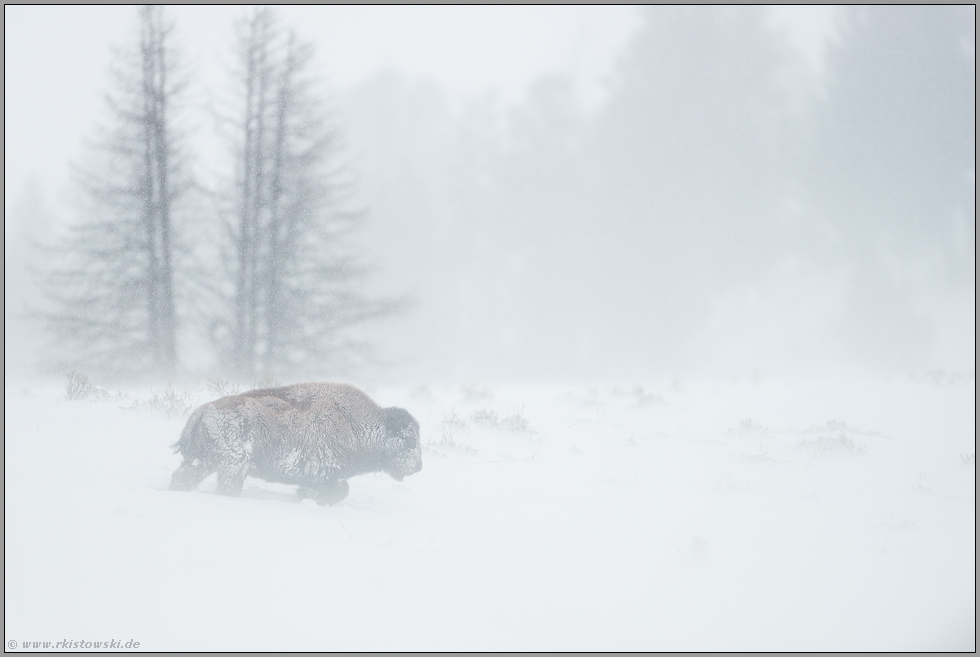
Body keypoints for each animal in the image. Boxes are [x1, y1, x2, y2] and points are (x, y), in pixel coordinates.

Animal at [168, 382, 422, 504]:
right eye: (409, 439)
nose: (419, 466)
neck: (354, 425)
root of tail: (203, 411)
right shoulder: (324, 473)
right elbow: (341, 490)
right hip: (234, 464)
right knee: (226, 486)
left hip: (204, 460)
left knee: (184, 476)